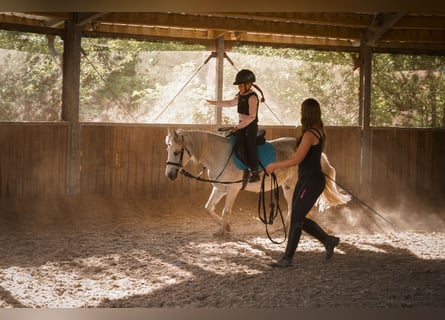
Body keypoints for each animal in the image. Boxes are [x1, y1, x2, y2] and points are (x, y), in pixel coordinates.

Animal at [165, 127, 348, 235]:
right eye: (168, 149)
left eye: (176, 152)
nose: (169, 175)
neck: (220, 155)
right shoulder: (220, 189)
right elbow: (208, 208)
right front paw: (225, 228)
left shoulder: (232, 190)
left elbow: (226, 211)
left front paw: (224, 232)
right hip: (288, 186)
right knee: (292, 208)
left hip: (293, 186)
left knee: (293, 207)